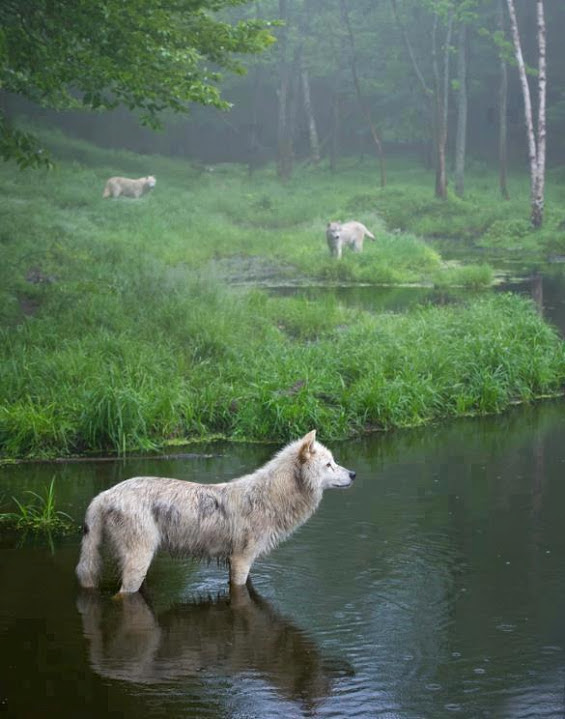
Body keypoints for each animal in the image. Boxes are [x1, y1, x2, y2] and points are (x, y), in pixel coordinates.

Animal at [76, 431, 355, 594]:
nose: (354, 474)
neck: (270, 497)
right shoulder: (240, 561)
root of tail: (105, 494)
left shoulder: (241, 562)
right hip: (138, 563)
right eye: (329, 465)